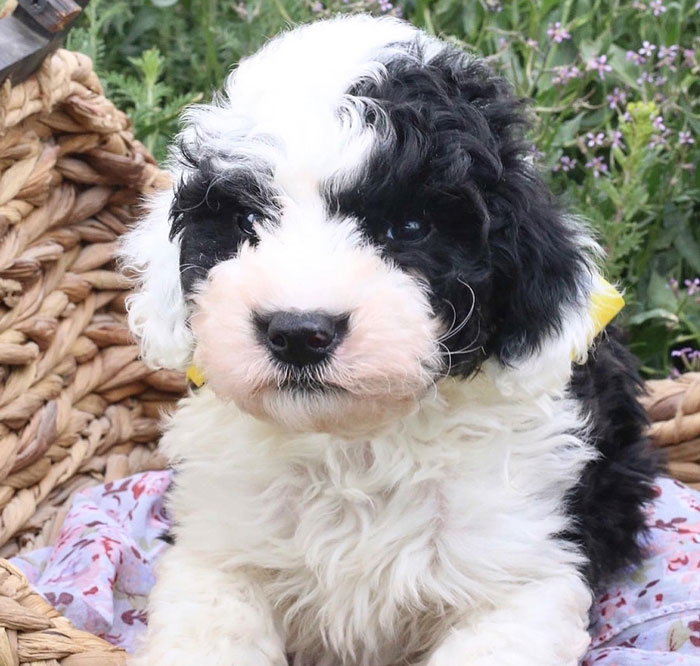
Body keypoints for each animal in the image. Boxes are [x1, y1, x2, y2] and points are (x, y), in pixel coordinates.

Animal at [121, 14, 660, 664]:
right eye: (247, 222)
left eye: (410, 227)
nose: (297, 332)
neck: (356, 447)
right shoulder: (216, 545)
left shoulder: (525, 567)